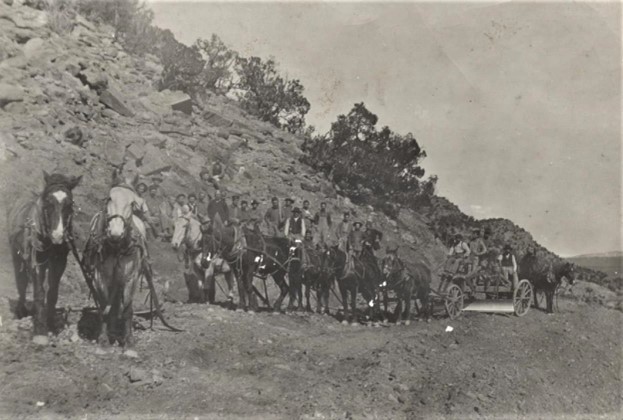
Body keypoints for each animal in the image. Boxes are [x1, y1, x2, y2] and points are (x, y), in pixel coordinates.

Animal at [8, 171, 83, 342]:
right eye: (48, 202)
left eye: (69, 204)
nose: (57, 236)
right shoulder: (37, 262)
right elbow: (39, 292)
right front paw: (40, 329)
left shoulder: (59, 262)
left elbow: (53, 292)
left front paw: (51, 324)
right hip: (17, 256)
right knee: (21, 283)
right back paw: (21, 310)